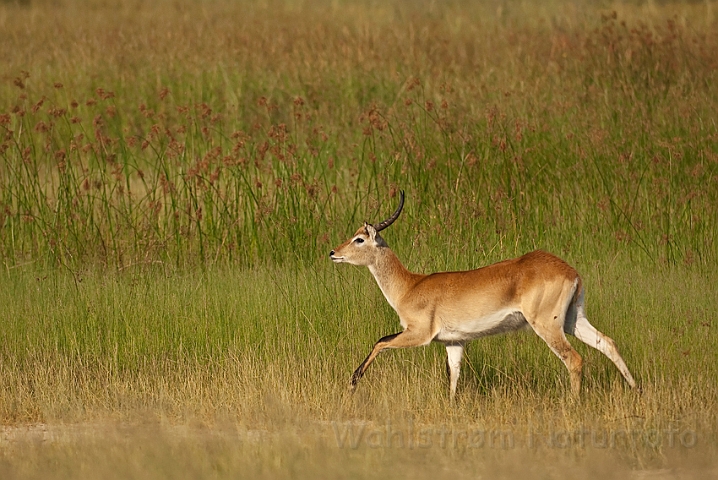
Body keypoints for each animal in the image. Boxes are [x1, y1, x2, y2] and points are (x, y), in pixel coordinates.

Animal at [330, 191, 640, 398]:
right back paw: (637, 389)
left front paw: (353, 382)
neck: (410, 285)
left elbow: (381, 341)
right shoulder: (454, 342)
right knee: (607, 343)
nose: (333, 253)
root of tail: (571, 271)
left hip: (547, 325)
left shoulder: (418, 333)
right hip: (573, 320)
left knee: (574, 359)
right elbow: (454, 376)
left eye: (359, 238)